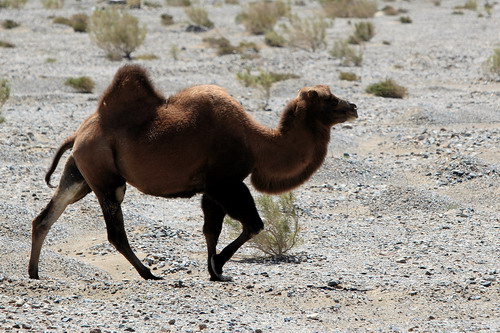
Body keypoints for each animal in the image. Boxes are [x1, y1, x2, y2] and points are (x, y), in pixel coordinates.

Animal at [29, 64, 358, 280]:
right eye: (329, 99)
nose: (353, 107)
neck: (258, 143)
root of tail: (79, 133)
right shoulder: (227, 183)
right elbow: (253, 224)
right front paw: (219, 267)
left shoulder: (210, 188)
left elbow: (211, 229)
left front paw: (214, 271)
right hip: (106, 178)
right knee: (115, 231)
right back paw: (148, 273)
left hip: (80, 174)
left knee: (46, 215)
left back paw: (33, 272)